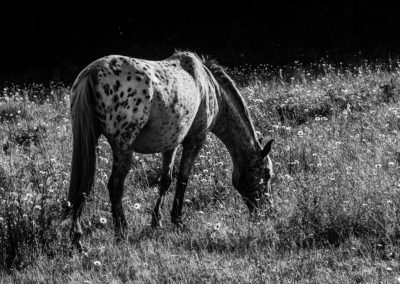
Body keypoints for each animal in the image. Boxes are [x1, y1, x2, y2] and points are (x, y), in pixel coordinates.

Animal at [67, 51, 274, 251]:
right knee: (115, 186)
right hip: (123, 148)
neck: (208, 85)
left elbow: (165, 181)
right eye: (267, 174)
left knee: (82, 189)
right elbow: (183, 179)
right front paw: (177, 220)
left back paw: (77, 240)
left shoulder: (170, 143)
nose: (266, 211)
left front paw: (156, 222)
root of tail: (92, 72)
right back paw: (121, 233)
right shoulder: (195, 140)